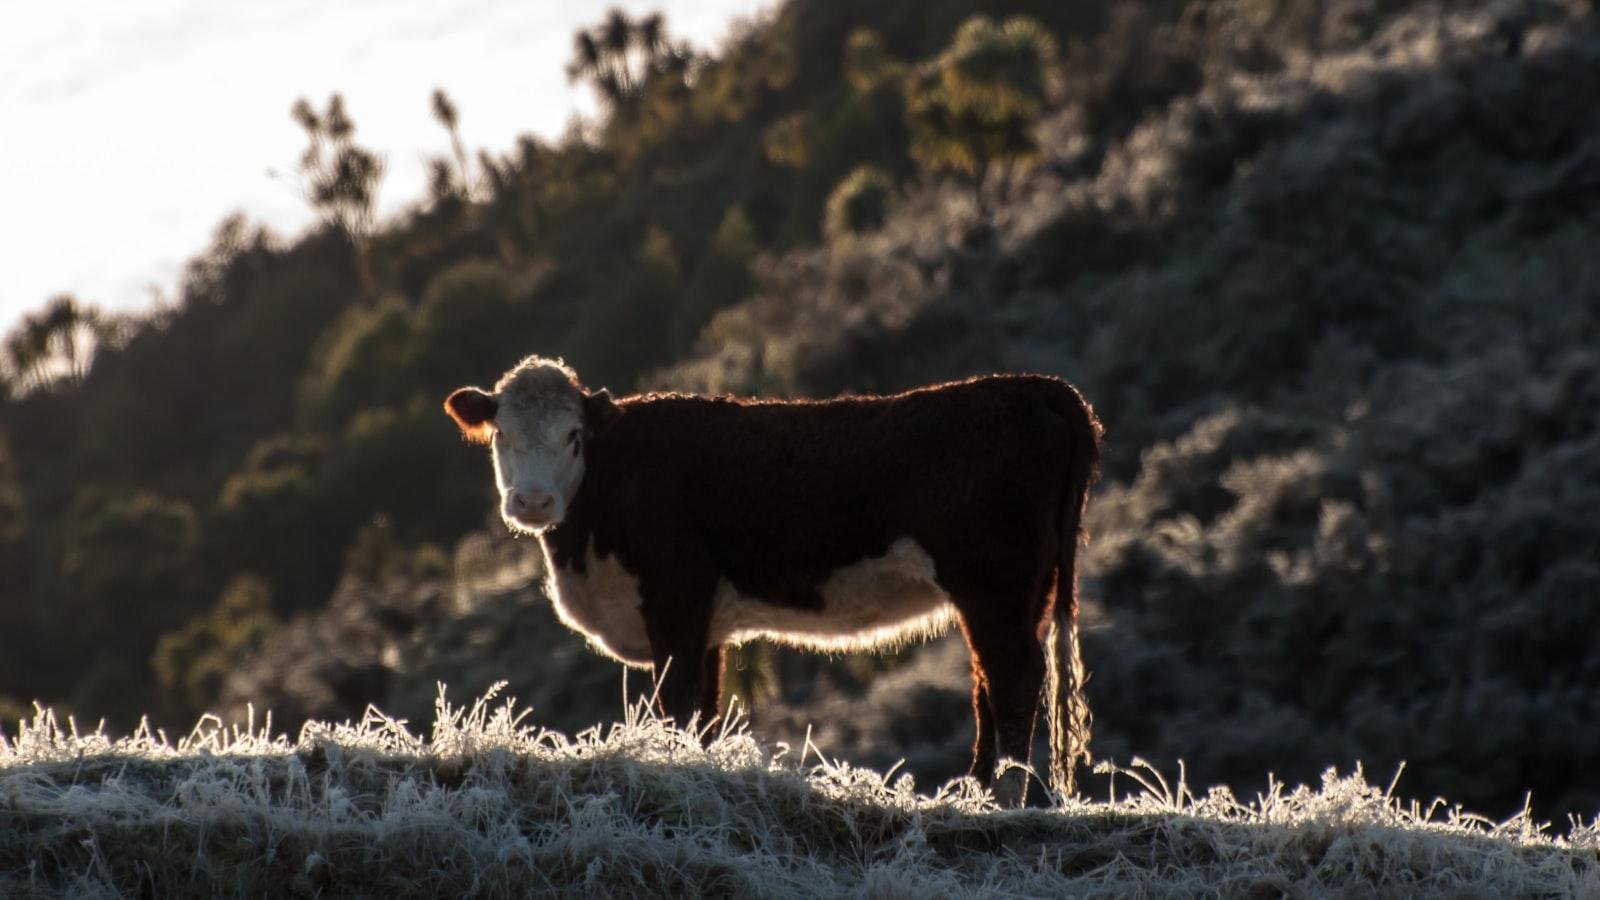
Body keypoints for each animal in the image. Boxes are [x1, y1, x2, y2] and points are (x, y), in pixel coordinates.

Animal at [448, 353, 1100, 800]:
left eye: (573, 436)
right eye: (502, 433)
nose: (533, 502)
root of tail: (1036, 387)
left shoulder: (675, 603)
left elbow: (677, 703)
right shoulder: (705, 626)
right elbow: (705, 713)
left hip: (993, 582)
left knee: (1014, 677)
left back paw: (1000, 796)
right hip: (1018, 592)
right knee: (990, 680)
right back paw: (973, 793)